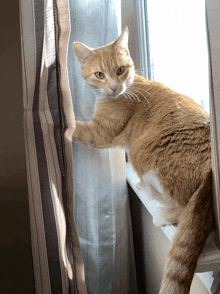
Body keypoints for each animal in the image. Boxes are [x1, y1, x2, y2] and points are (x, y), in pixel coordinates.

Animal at [72, 26, 213, 292]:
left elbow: (76, 128)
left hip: (142, 152)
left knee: (183, 206)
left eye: (120, 70)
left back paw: (162, 212)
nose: (114, 87)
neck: (129, 88)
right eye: (99, 74)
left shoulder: (101, 132)